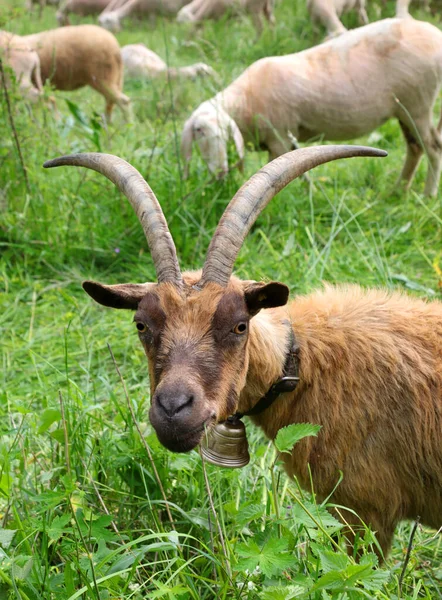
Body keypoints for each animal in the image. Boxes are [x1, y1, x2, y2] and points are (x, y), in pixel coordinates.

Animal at [181, 18, 442, 195]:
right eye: (199, 130)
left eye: (225, 133)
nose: (220, 171)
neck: (246, 100)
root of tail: (435, 35)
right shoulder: (287, 141)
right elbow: (300, 172)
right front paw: (311, 193)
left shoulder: (279, 138)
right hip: (405, 109)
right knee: (415, 148)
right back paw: (398, 191)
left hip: (418, 103)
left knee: (432, 147)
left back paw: (427, 194)